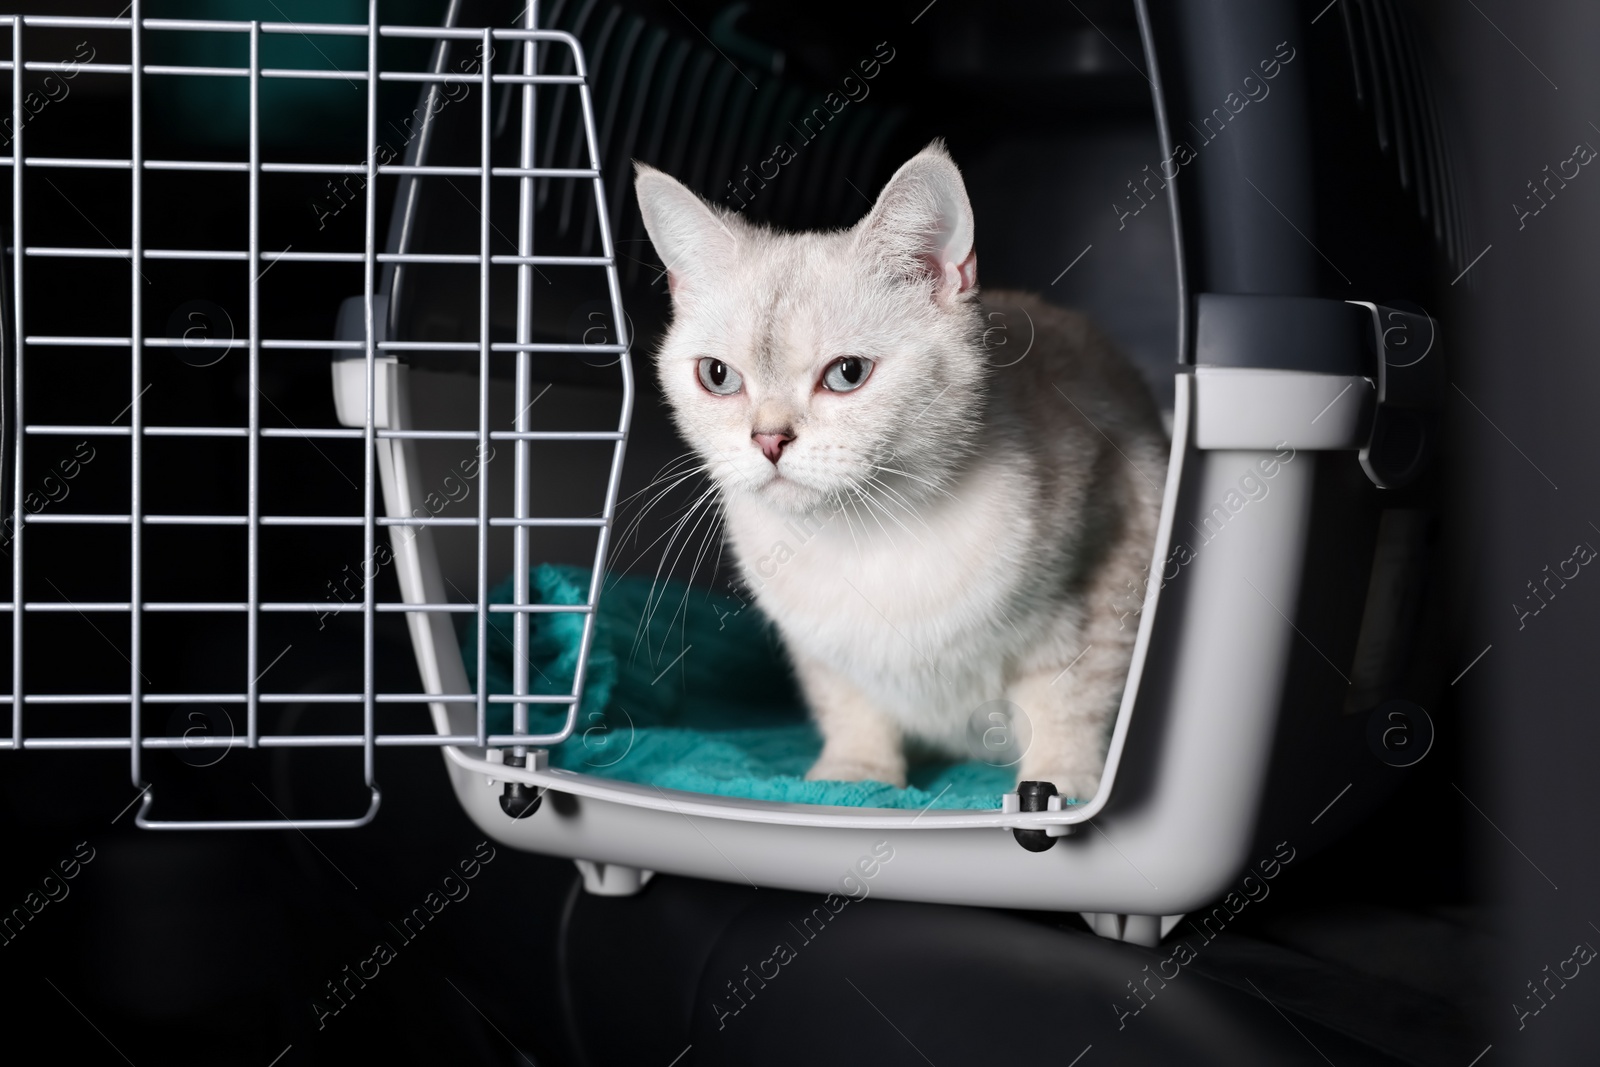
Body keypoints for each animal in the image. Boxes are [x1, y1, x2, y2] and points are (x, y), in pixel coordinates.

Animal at [630, 139, 1171, 799]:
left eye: (847, 374)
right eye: (717, 376)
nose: (768, 439)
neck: (868, 535)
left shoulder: (1109, 571)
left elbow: (1069, 701)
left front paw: (1058, 786)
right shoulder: (821, 648)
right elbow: (849, 704)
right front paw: (853, 776)